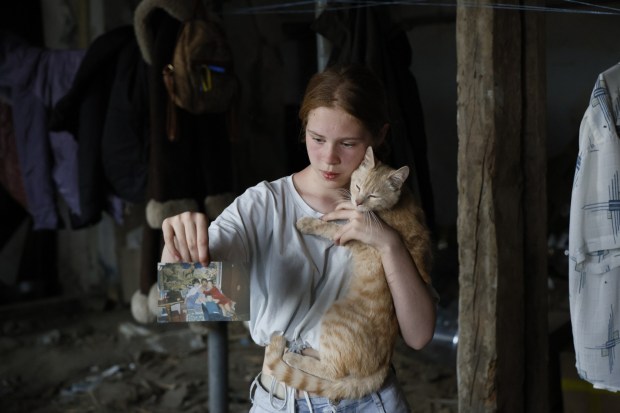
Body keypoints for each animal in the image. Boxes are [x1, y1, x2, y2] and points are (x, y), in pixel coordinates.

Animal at [264, 146, 434, 400]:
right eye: (358, 187)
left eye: (373, 195)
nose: (357, 201)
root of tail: (383, 366)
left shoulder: (351, 235)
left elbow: (329, 227)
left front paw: (309, 223)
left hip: (333, 318)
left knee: (333, 372)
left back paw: (293, 356)